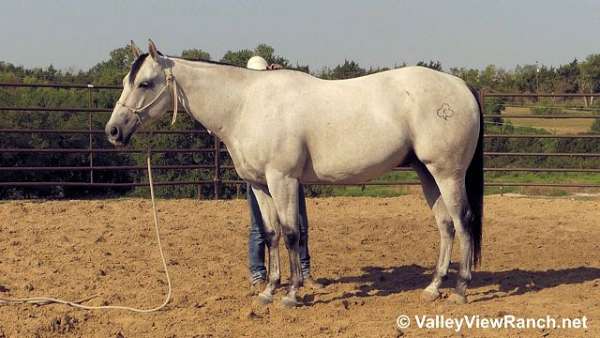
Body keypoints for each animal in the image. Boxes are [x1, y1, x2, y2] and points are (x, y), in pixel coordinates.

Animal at [106, 41, 482, 308]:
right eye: (126, 81)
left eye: (145, 83)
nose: (113, 131)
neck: (246, 105)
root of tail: (461, 86)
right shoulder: (260, 184)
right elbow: (271, 234)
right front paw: (269, 291)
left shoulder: (282, 179)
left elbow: (290, 234)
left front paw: (292, 294)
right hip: (427, 174)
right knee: (445, 225)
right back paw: (433, 287)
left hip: (447, 174)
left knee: (462, 221)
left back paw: (461, 289)